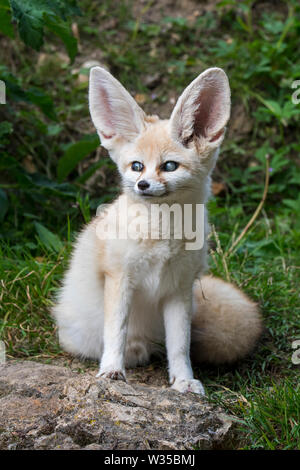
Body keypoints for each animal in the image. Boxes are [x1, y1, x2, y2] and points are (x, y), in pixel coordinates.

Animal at [54, 68, 262, 394]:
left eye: (170, 166)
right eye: (137, 166)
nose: (142, 185)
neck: (163, 235)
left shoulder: (178, 289)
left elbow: (180, 345)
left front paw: (183, 380)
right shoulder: (120, 279)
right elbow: (116, 332)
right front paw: (111, 371)